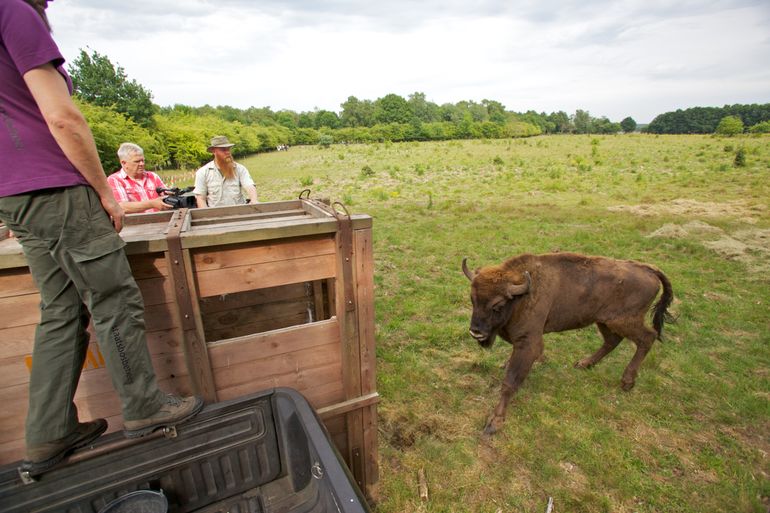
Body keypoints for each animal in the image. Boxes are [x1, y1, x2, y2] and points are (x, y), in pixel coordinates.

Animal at [462, 252, 672, 432]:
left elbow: (510, 381)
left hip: (623, 321)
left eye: (497, 305)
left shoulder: (528, 342)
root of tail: (648, 269)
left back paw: (627, 382)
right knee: (612, 341)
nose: (476, 331)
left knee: (647, 337)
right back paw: (584, 364)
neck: (521, 296)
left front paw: (495, 422)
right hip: (603, 320)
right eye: (473, 299)